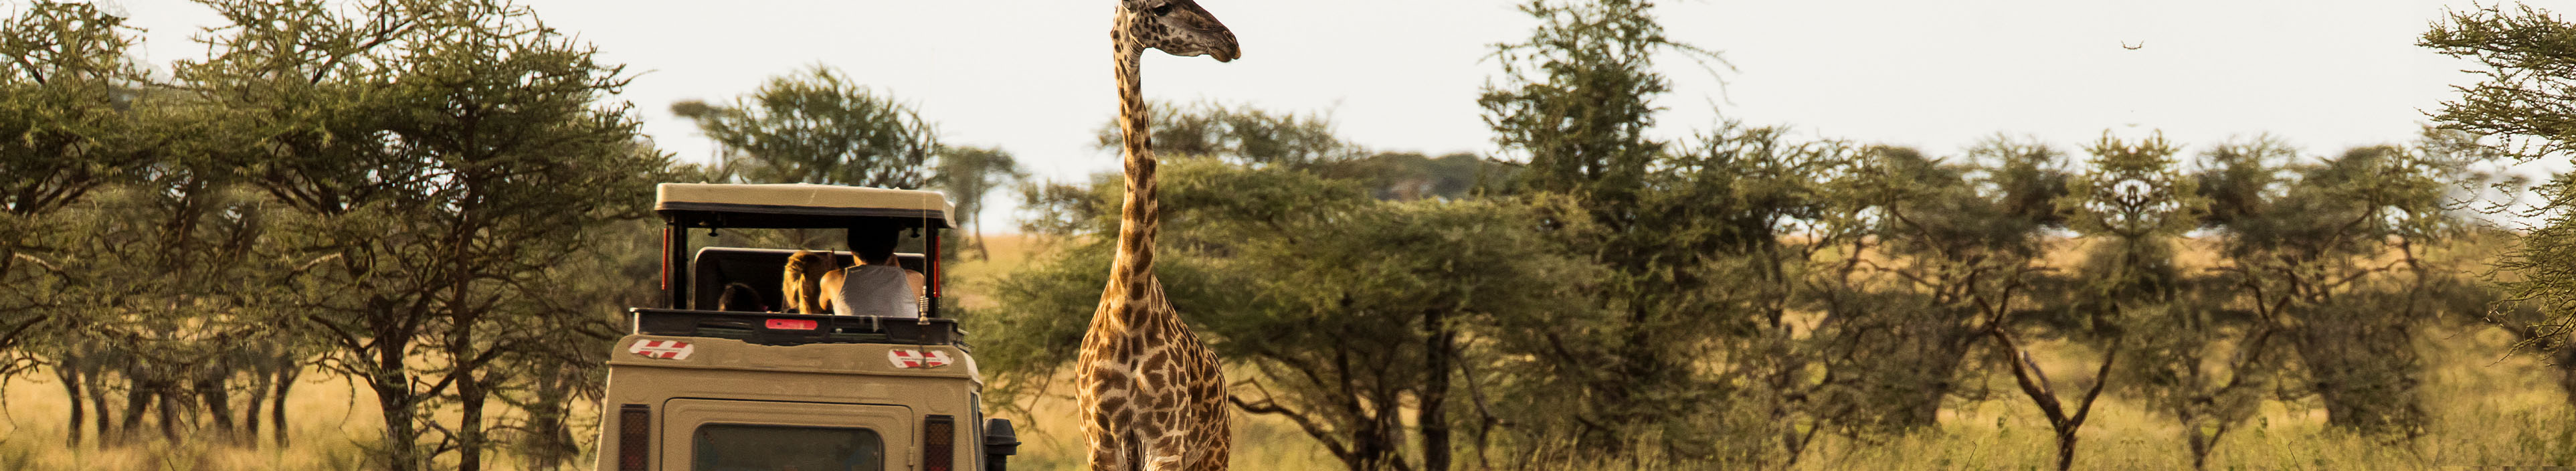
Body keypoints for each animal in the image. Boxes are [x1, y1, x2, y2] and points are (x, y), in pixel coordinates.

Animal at [1079, 1, 1239, 471]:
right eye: (1160, 7)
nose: (1230, 42)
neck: (1129, 308)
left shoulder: (1166, 440)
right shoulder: (1101, 443)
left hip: (1214, 453)